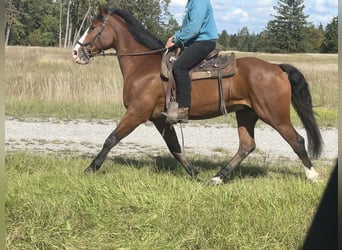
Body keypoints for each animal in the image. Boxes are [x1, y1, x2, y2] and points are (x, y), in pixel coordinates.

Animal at [73, 6, 324, 186]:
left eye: (93, 27)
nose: (76, 52)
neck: (143, 66)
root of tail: (277, 68)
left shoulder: (137, 113)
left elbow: (111, 138)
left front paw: (91, 168)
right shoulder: (160, 119)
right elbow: (175, 147)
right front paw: (194, 173)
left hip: (274, 115)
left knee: (297, 140)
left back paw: (312, 175)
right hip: (247, 114)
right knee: (246, 145)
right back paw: (217, 178)